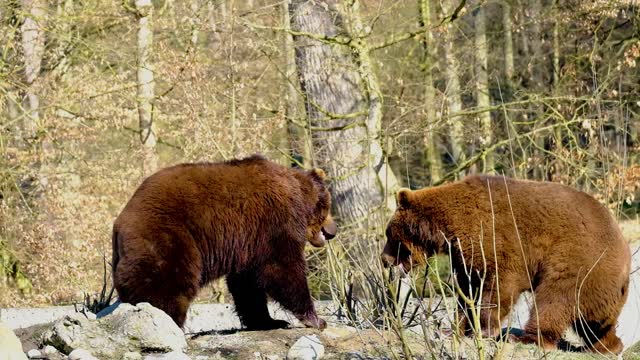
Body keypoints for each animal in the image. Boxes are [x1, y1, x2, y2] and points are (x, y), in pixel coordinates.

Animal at [112, 153, 338, 330]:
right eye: (327, 207)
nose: (332, 231)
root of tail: (119, 222)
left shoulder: (249, 241)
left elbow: (247, 283)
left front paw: (269, 320)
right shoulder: (275, 222)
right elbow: (282, 268)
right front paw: (316, 319)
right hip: (168, 236)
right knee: (168, 283)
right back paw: (169, 322)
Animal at [380, 175, 632, 354]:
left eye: (388, 234)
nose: (384, 259)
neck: (449, 229)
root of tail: (625, 253)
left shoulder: (495, 236)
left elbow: (499, 285)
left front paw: (485, 329)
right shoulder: (465, 255)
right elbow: (468, 289)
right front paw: (453, 328)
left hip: (578, 259)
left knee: (555, 298)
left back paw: (528, 337)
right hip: (600, 286)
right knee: (595, 322)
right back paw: (607, 346)